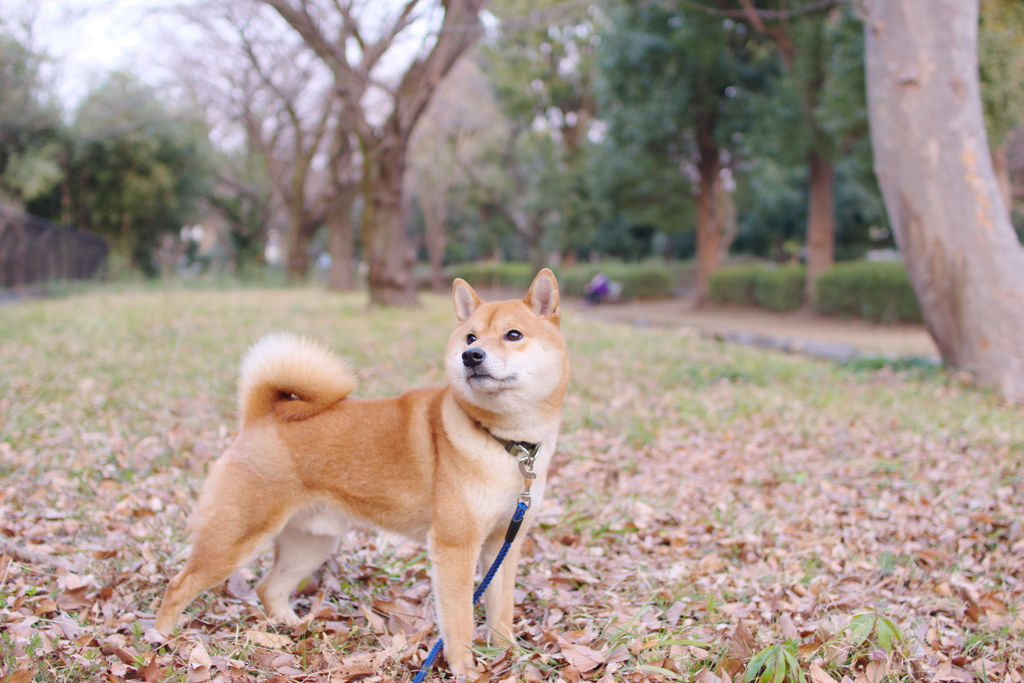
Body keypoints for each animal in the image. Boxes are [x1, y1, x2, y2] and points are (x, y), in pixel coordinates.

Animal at [153, 270, 569, 675]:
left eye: (513, 334)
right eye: (470, 337)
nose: (471, 356)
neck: (508, 443)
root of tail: (263, 415)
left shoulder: (504, 541)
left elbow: (501, 611)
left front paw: (509, 656)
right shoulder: (455, 547)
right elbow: (460, 620)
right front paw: (465, 666)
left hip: (311, 544)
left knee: (268, 589)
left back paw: (291, 629)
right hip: (235, 538)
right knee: (178, 586)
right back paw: (162, 642)